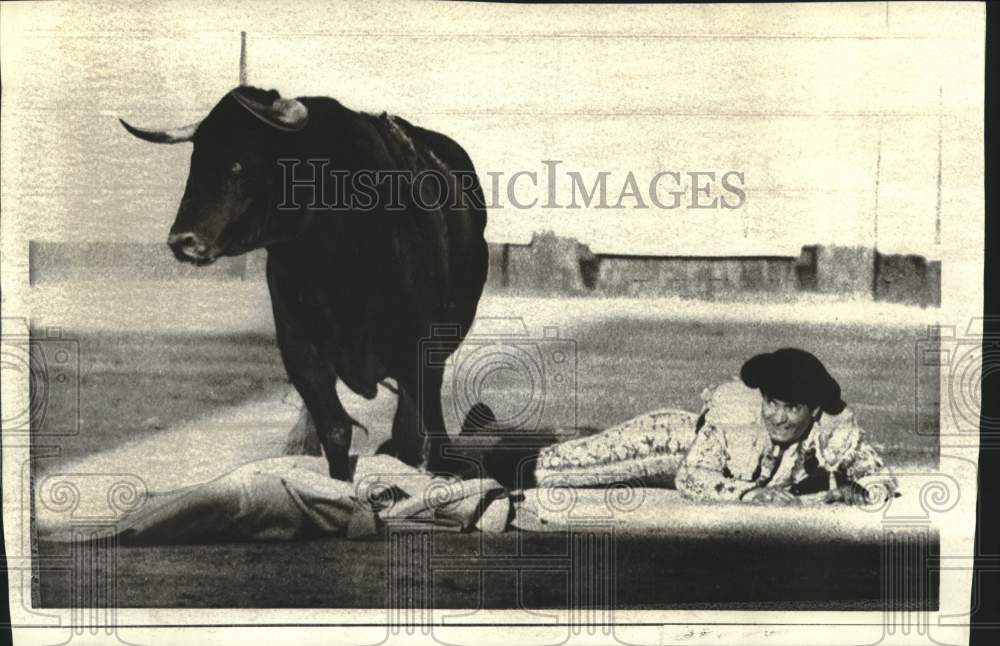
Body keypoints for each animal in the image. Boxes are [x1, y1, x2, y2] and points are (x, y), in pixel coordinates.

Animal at [121, 86, 488, 480]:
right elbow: (335, 428)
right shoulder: (300, 348)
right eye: (195, 160)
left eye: (237, 164)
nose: (182, 240)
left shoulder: (421, 347)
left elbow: (428, 421)